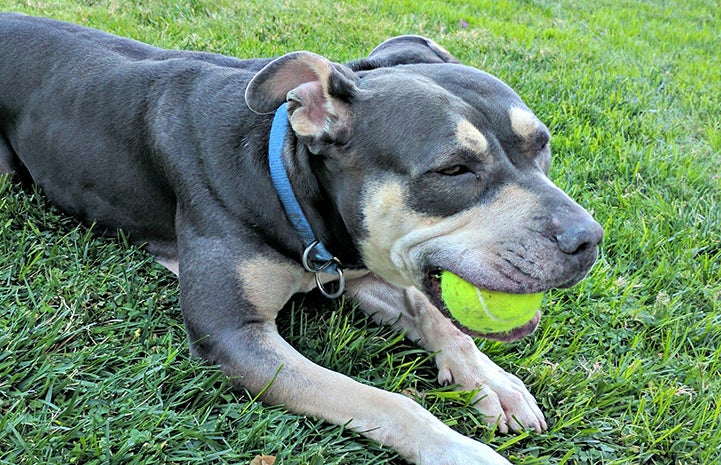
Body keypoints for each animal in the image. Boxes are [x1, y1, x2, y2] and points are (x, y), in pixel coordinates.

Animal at [1, 13, 600, 464]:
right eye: (453, 170)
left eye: (541, 144)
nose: (588, 239)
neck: (282, 172)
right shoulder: (234, 335)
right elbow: (387, 402)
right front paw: (463, 452)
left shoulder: (354, 264)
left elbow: (434, 314)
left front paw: (491, 380)